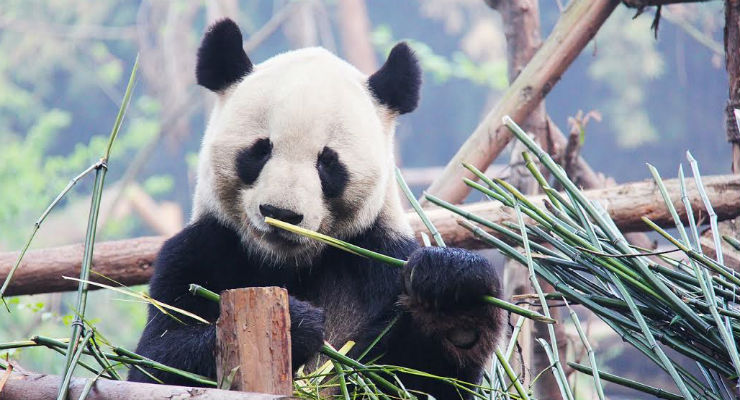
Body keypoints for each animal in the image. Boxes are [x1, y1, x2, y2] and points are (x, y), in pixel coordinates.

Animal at [129, 18, 504, 399]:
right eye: (260, 150)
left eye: (328, 162)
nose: (282, 213)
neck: (287, 264)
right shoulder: (199, 250)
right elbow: (155, 362)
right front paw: (299, 324)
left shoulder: (379, 257)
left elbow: (416, 379)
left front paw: (453, 296)